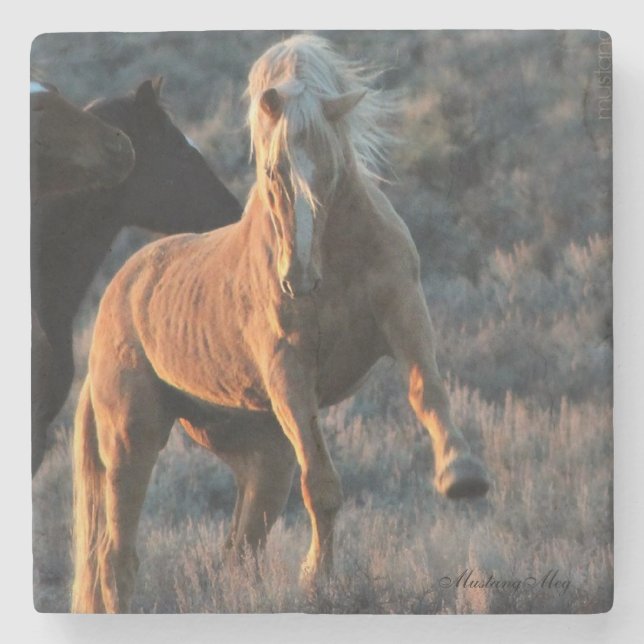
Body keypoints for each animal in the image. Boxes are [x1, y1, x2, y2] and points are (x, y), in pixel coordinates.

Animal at [71, 36, 489, 613]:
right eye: (273, 171)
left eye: (329, 166)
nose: (297, 278)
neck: (338, 259)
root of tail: (117, 294)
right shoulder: (291, 372)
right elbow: (322, 487)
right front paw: (317, 580)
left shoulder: (406, 318)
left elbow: (428, 393)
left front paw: (461, 476)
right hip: (133, 437)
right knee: (116, 558)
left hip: (262, 456)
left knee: (238, 550)